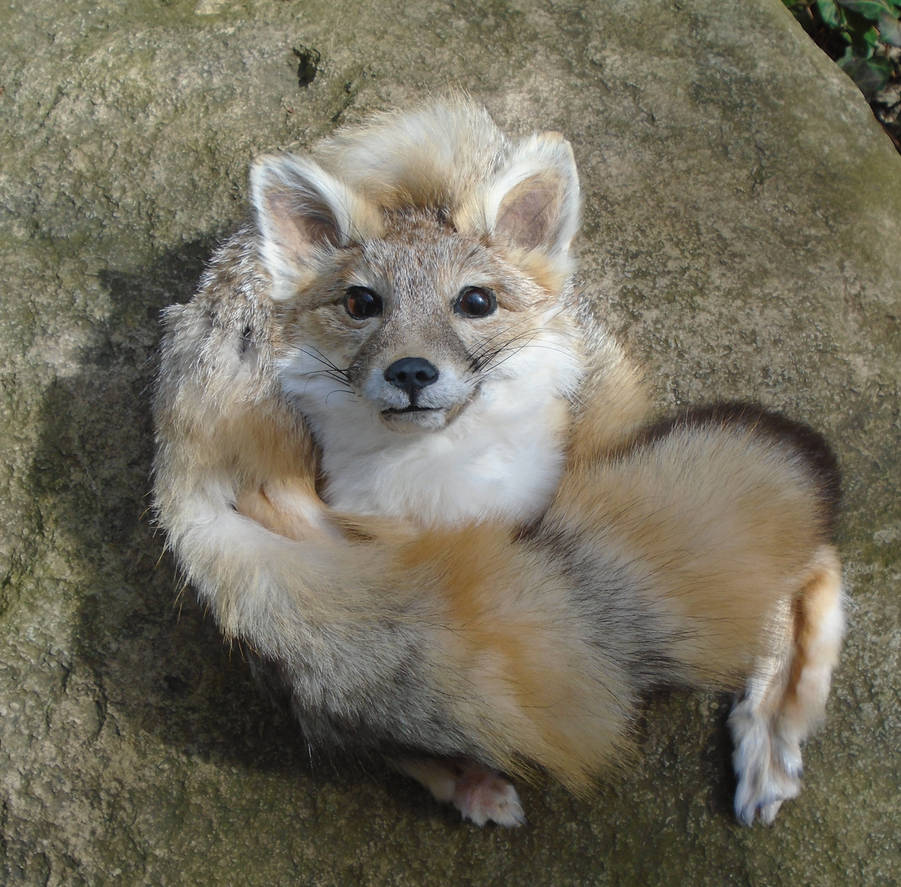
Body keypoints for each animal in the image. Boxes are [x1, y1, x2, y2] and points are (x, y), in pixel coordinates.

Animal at [152, 98, 844, 829]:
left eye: (475, 302)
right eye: (361, 304)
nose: (411, 373)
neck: (447, 490)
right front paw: (465, 776)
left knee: (809, 555)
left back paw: (773, 724)